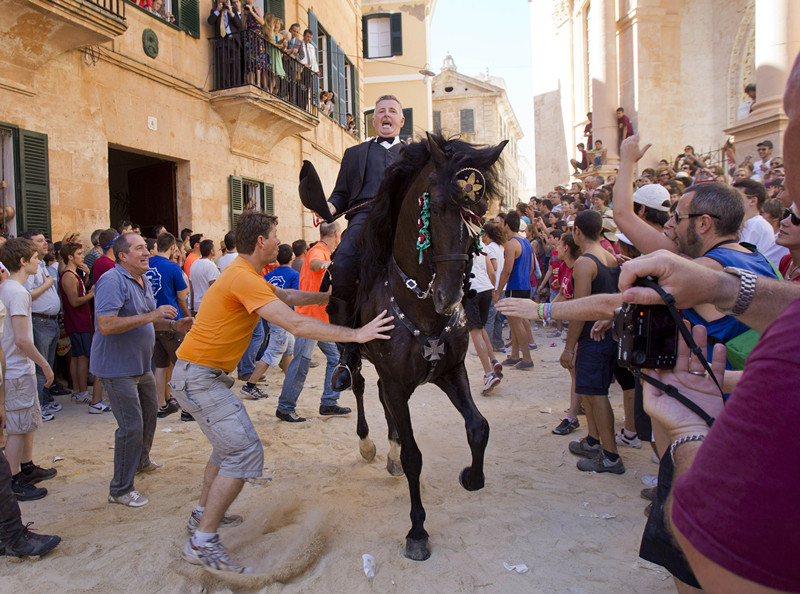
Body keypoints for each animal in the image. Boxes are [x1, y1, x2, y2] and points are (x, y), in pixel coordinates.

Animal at [352, 132, 504, 556]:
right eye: (434, 206)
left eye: (478, 210)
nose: (449, 296)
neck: (420, 310)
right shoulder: (399, 383)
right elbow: (414, 456)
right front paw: (417, 531)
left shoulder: (450, 373)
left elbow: (479, 426)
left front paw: (471, 476)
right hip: (354, 357)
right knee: (358, 386)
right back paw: (368, 444)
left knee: (380, 398)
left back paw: (387, 452)